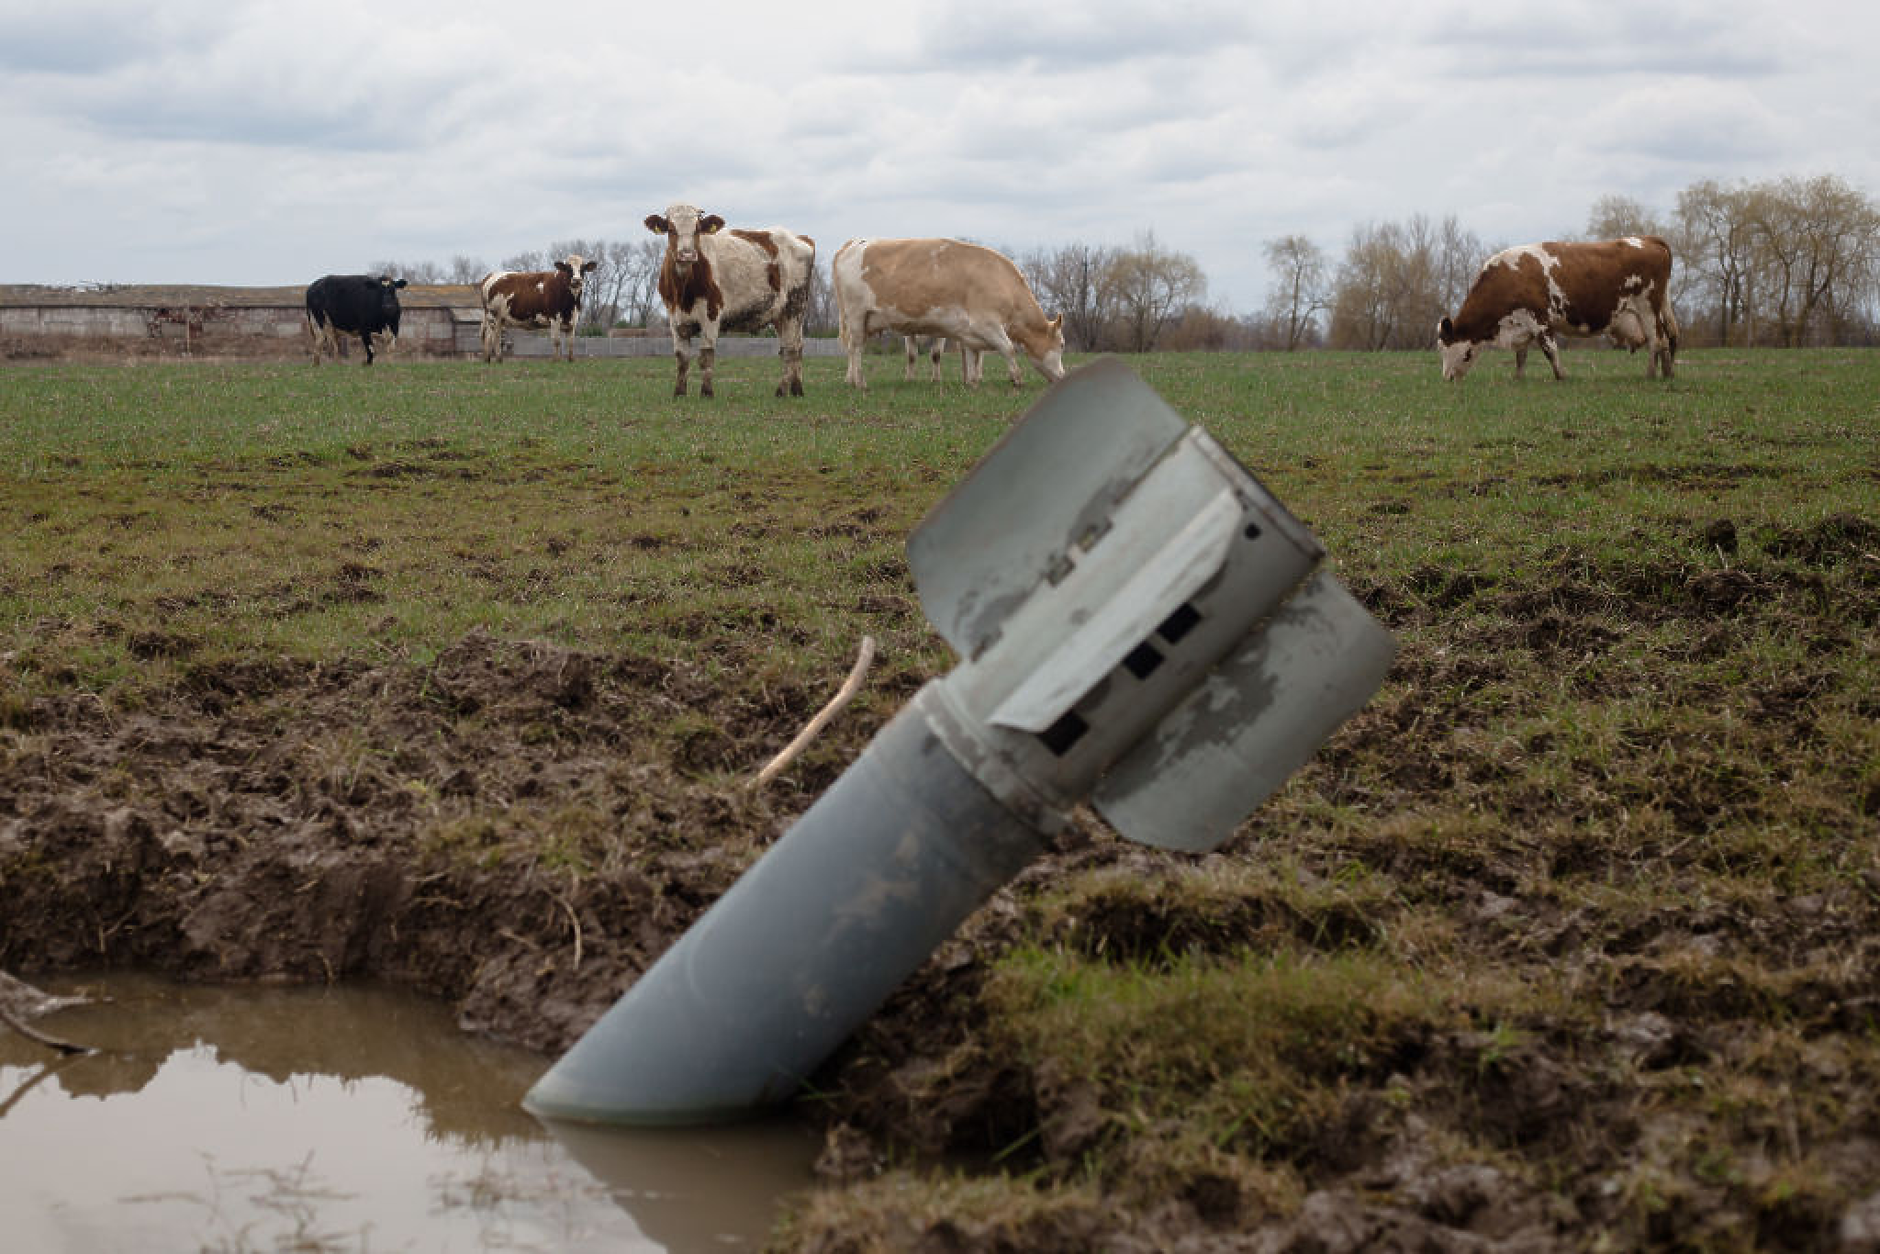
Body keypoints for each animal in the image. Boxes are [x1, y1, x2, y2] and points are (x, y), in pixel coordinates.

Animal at [642, 202, 812, 396]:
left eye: (697, 229)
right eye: (671, 229)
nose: (687, 254)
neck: (683, 293)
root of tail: (799, 237)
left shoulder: (711, 313)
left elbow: (706, 356)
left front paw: (706, 393)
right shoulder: (674, 318)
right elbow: (682, 358)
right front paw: (679, 393)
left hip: (795, 306)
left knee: (791, 350)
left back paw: (783, 391)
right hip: (780, 315)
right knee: (791, 348)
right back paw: (795, 390)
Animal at [834, 237, 1067, 389]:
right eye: (1063, 344)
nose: (1063, 375)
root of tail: (854, 244)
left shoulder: (971, 333)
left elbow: (973, 355)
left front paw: (972, 382)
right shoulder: (987, 324)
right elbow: (1008, 348)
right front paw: (1017, 379)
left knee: (854, 348)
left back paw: (852, 380)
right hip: (856, 314)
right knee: (856, 348)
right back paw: (859, 382)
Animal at [1428, 235, 1684, 379]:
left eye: (1444, 347)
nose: (1447, 378)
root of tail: (1647, 239)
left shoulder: (1540, 321)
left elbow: (1549, 350)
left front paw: (1561, 376)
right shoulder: (1522, 324)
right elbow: (1521, 356)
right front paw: (1518, 377)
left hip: (1647, 307)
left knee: (1656, 340)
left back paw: (1650, 374)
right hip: (1657, 308)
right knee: (1668, 338)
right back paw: (1668, 373)